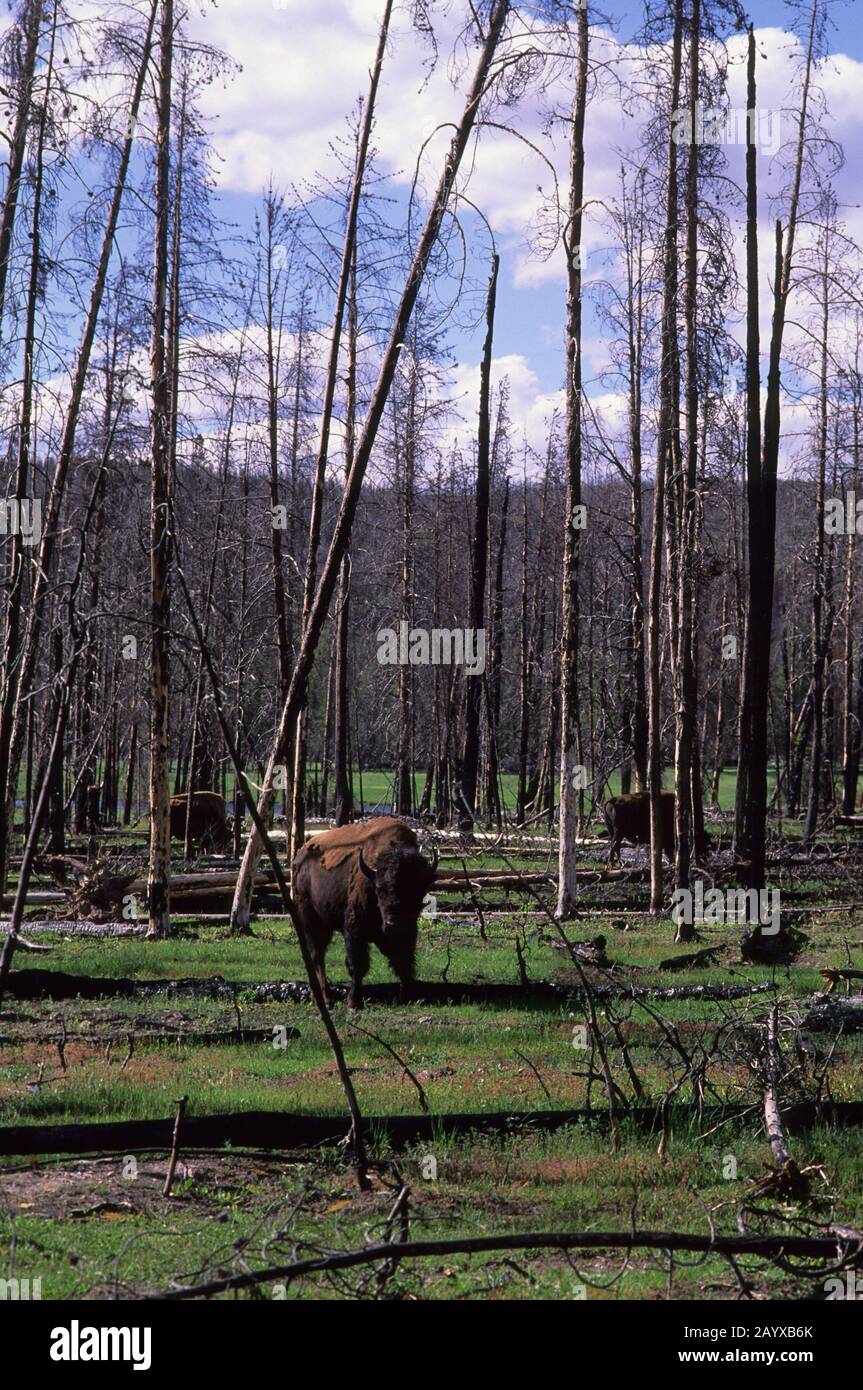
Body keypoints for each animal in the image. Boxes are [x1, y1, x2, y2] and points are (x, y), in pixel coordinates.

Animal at [292, 816, 437, 1009]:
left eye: (418, 891)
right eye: (379, 889)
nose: (394, 924)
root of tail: (299, 856)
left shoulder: (407, 933)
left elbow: (403, 961)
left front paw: (407, 995)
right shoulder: (354, 930)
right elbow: (358, 965)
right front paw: (353, 1002)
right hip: (310, 920)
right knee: (317, 957)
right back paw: (326, 999)